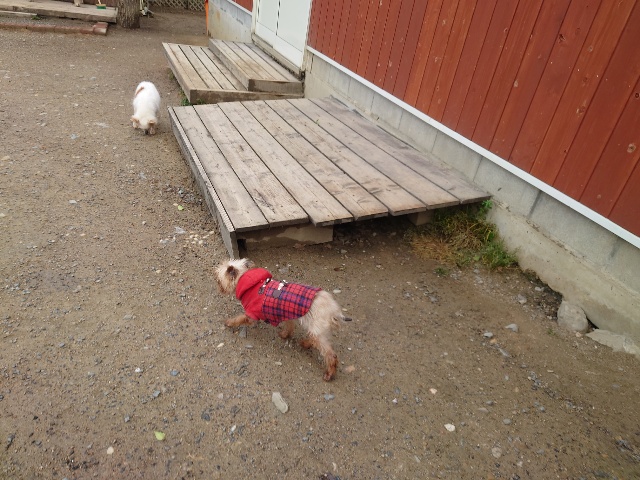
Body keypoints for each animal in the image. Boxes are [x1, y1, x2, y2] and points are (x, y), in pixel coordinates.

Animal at [216, 258, 350, 381]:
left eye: (219, 279)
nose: (218, 285)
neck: (250, 283)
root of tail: (334, 311)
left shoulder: (251, 314)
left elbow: (239, 319)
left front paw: (229, 322)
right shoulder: (286, 313)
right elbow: (289, 327)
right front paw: (285, 335)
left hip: (317, 329)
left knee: (331, 355)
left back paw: (329, 374)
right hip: (316, 330)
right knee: (314, 340)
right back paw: (305, 343)